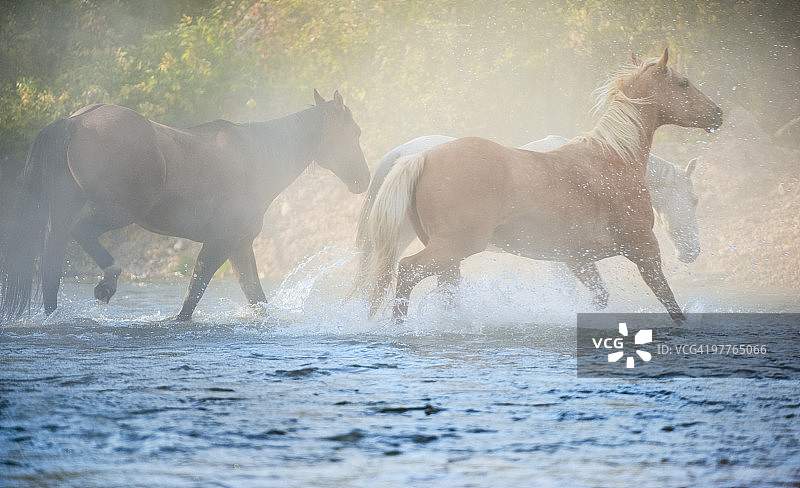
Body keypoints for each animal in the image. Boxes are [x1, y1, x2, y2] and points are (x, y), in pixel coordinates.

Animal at [0, 90, 370, 322]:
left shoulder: (240, 245)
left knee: (51, 261)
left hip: (68, 207)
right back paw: (108, 282)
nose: (363, 179)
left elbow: (255, 297)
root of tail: (75, 121)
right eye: (355, 132)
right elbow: (194, 293)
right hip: (119, 210)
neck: (257, 157)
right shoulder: (222, 241)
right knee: (82, 233)